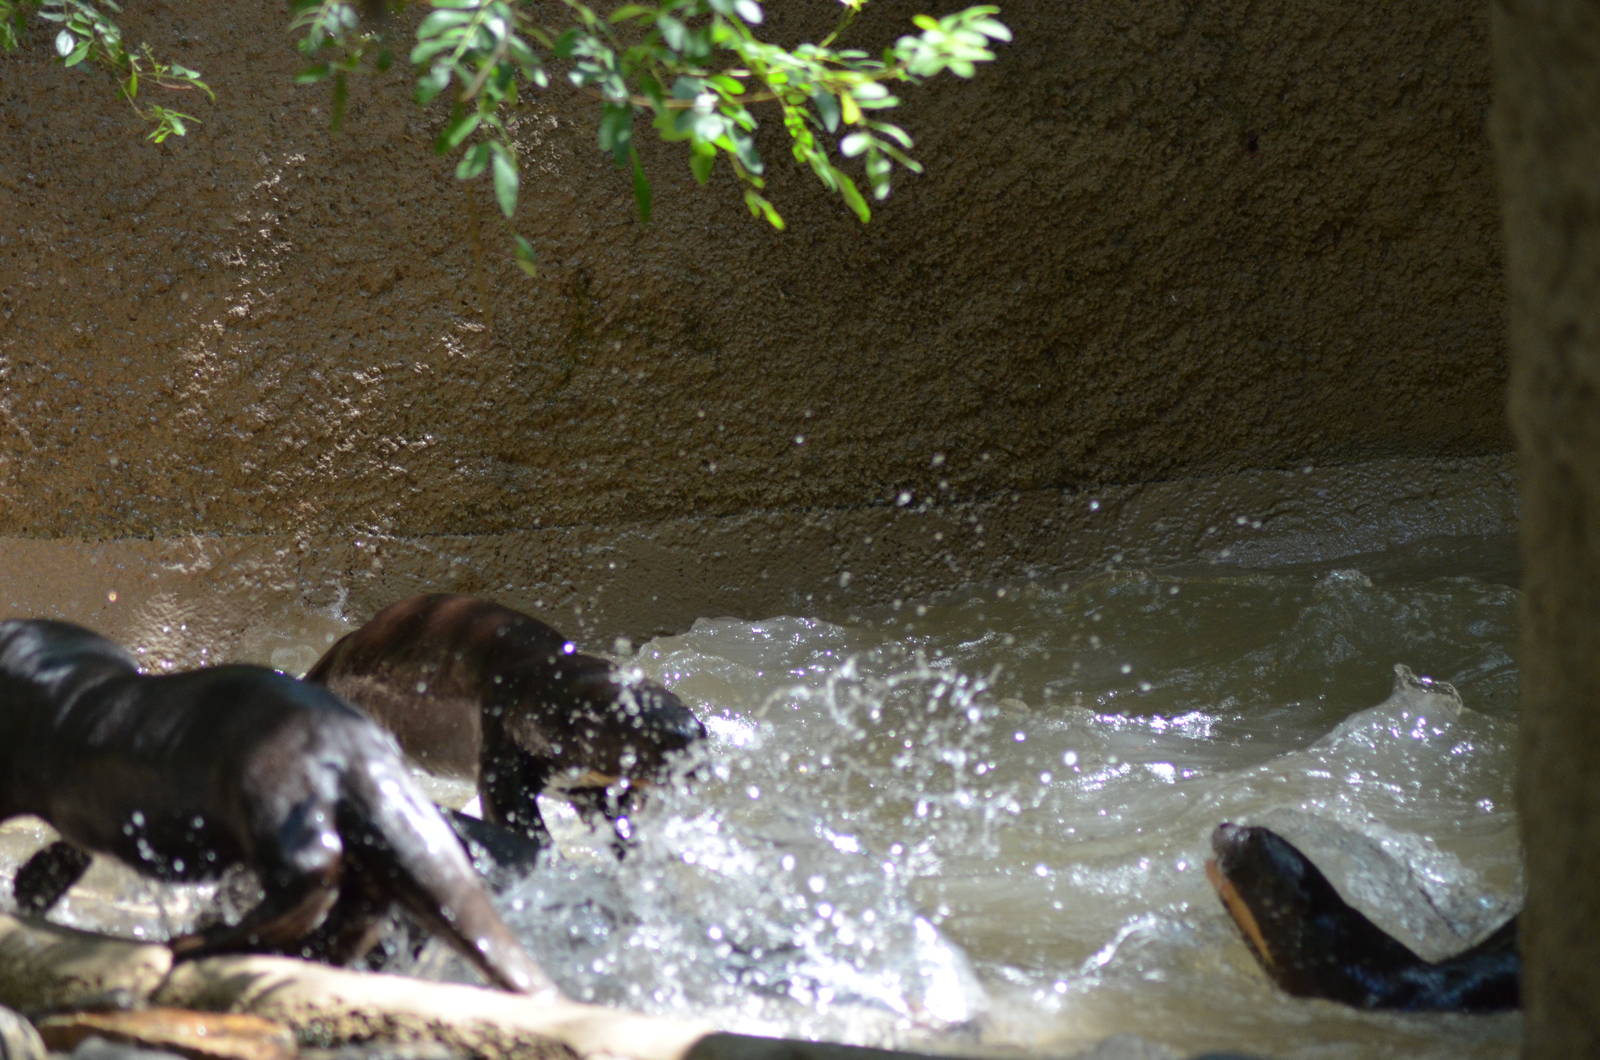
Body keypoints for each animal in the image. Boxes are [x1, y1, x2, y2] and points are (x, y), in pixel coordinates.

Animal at [0, 619, 554, 995]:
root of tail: (356, 751)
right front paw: (34, 882)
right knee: (358, 912)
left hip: (271, 791)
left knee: (310, 875)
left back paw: (200, 943)